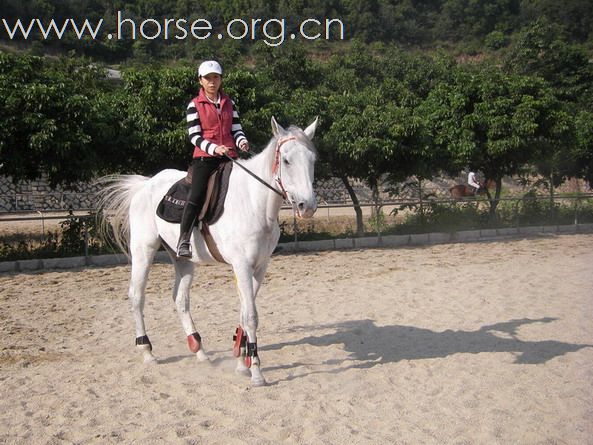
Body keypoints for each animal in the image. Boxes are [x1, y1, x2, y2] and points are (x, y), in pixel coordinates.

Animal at [97, 117, 320, 386]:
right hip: (143, 250)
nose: (307, 206)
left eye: (312, 159)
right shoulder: (242, 266)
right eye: (286, 160)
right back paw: (147, 351)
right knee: (136, 296)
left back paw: (199, 350)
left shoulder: (259, 267)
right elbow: (251, 316)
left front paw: (241, 360)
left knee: (180, 299)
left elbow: (244, 311)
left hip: (183, 260)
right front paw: (256, 370)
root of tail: (145, 184)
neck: (254, 202)